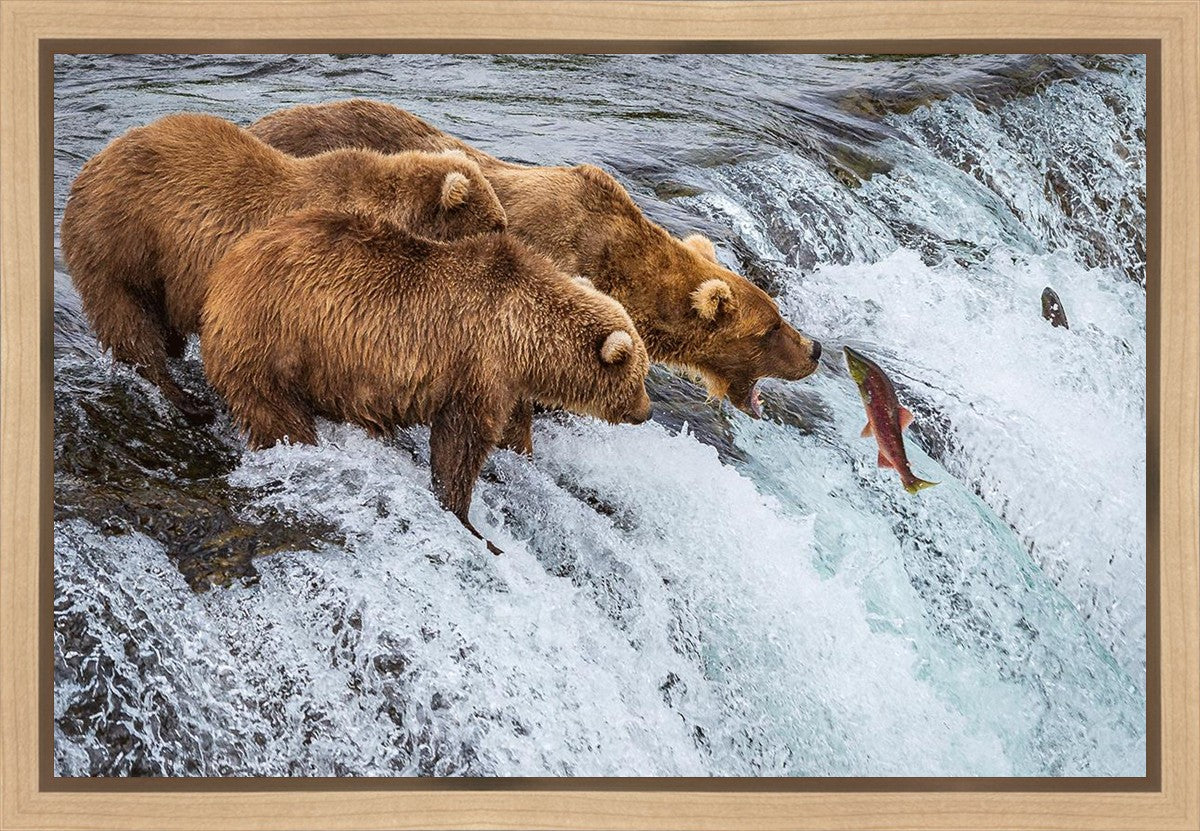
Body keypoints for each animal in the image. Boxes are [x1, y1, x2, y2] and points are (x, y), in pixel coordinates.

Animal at [60, 112, 507, 424]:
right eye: (496, 224)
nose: (509, 239)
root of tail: (92, 163)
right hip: (121, 242)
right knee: (129, 322)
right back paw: (186, 400)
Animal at [200, 207, 652, 555]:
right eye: (640, 376)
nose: (646, 412)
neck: (524, 336)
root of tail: (225, 269)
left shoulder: (506, 381)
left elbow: (511, 429)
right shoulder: (477, 364)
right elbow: (461, 443)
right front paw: (470, 522)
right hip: (274, 340)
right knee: (276, 413)